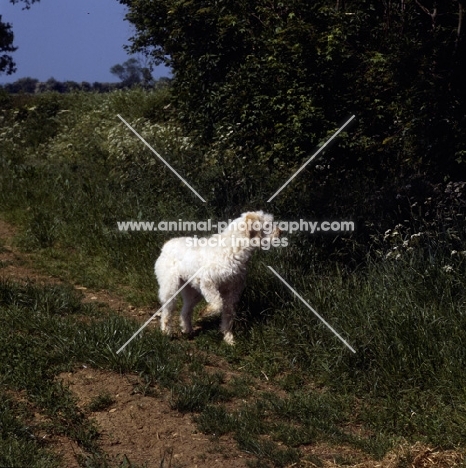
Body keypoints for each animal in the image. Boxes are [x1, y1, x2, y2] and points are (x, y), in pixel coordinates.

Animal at [154, 211, 276, 344]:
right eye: (268, 225)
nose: (280, 232)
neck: (233, 248)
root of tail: (167, 245)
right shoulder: (208, 283)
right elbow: (218, 304)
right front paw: (207, 312)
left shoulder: (232, 292)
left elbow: (228, 315)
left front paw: (228, 338)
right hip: (170, 287)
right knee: (167, 311)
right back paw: (166, 331)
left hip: (192, 292)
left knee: (185, 311)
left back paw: (187, 330)